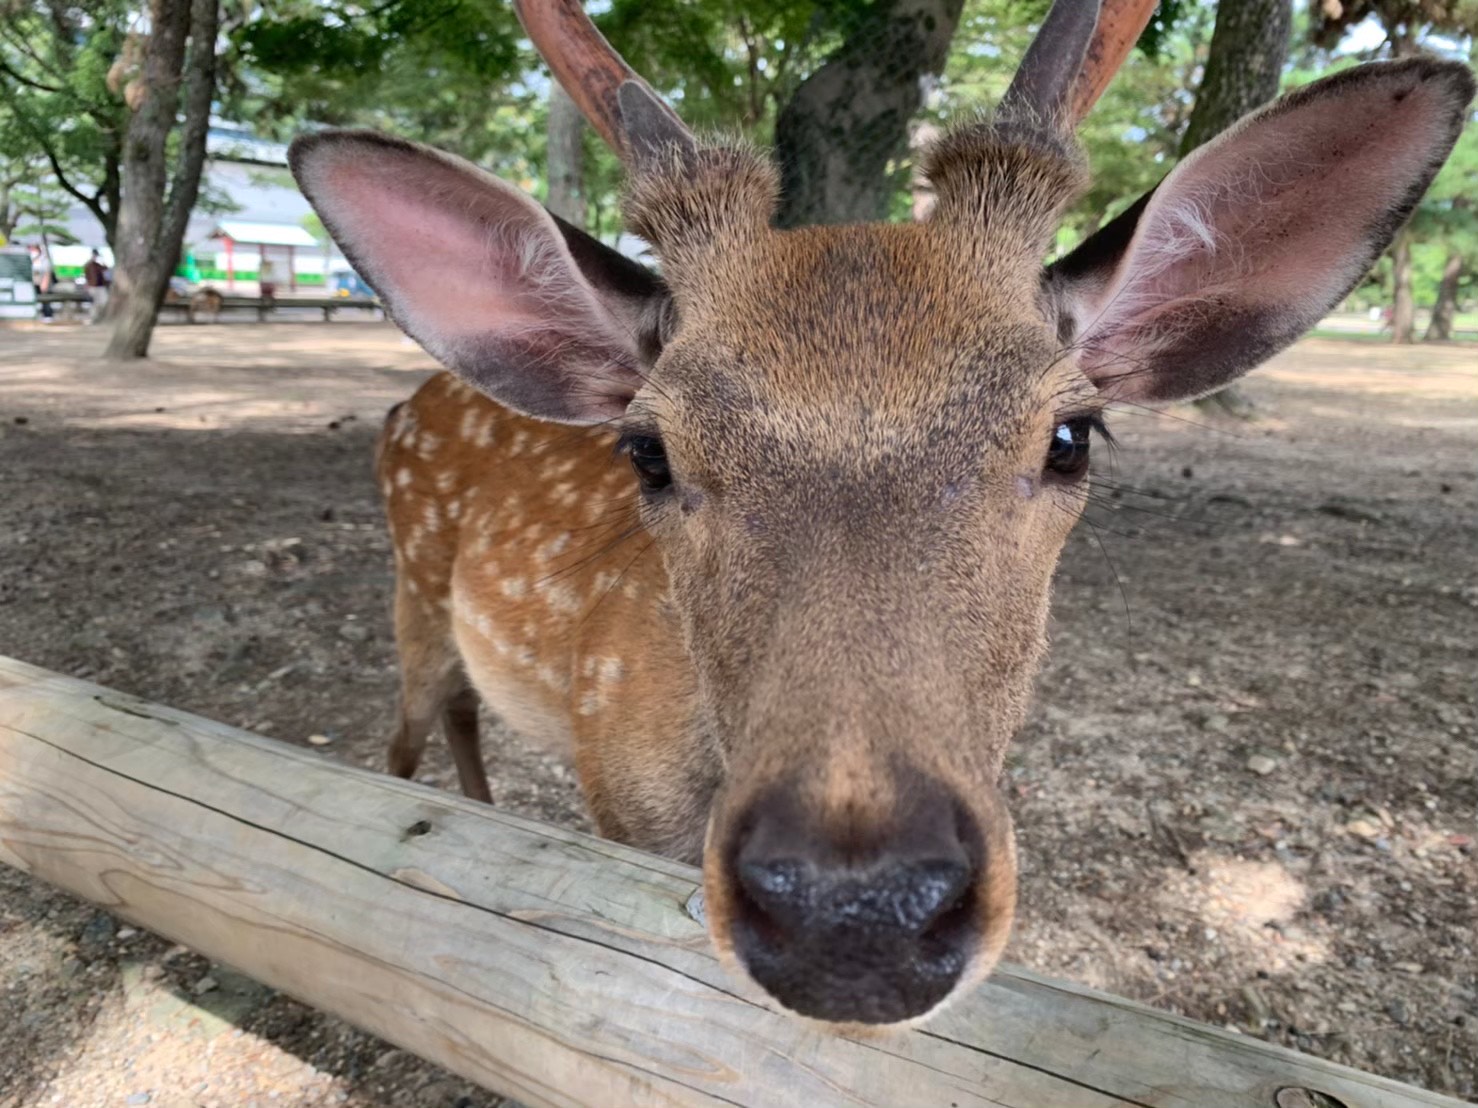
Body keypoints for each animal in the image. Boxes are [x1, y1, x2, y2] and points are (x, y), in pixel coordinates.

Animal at [288, 0, 1478, 1028]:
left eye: (1070, 435)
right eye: (648, 450)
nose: (851, 914)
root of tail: (407, 399)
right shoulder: (613, 793)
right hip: (410, 589)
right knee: (403, 735)